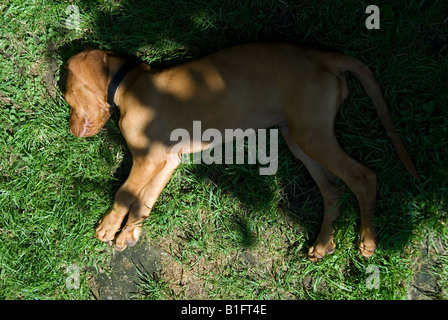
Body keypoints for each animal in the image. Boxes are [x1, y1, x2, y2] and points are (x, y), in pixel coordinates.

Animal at [65, 42, 418, 262]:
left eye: (67, 95)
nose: (71, 132)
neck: (129, 84)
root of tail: (322, 56)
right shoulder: (165, 161)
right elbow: (144, 200)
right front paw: (128, 233)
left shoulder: (147, 158)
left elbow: (125, 193)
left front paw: (108, 226)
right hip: (299, 137)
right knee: (332, 190)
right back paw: (322, 243)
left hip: (312, 135)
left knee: (363, 177)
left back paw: (368, 240)